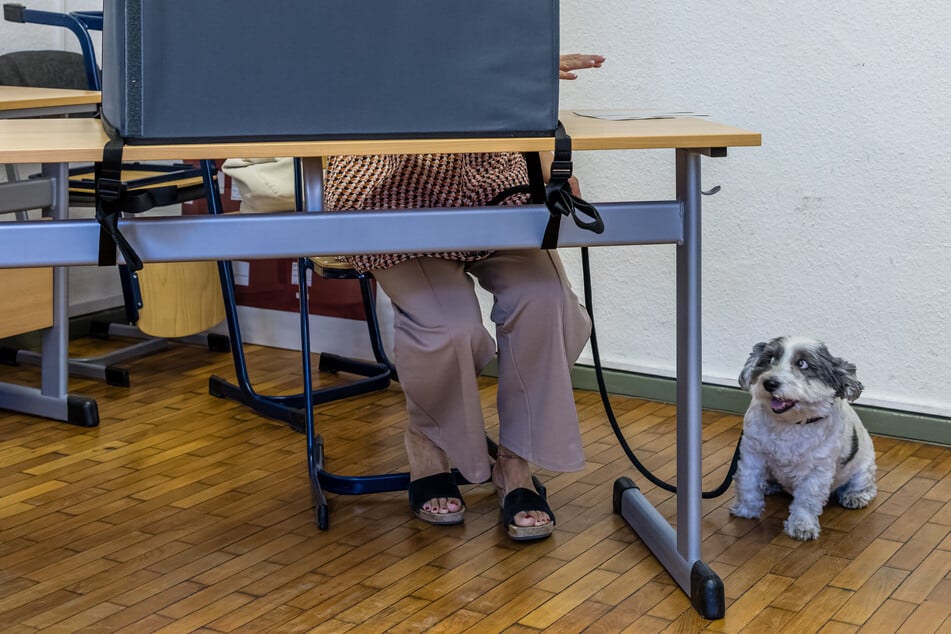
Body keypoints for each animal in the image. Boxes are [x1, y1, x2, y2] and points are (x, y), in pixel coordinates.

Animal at [728, 336, 876, 540]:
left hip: (863, 468)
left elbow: (807, 500)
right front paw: (746, 509)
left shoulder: (817, 471)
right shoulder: (752, 454)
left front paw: (802, 526)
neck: (791, 424)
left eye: (802, 363)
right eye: (770, 359)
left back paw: (855, 496)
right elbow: (747, 482)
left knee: (866, 486)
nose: (769, 383)